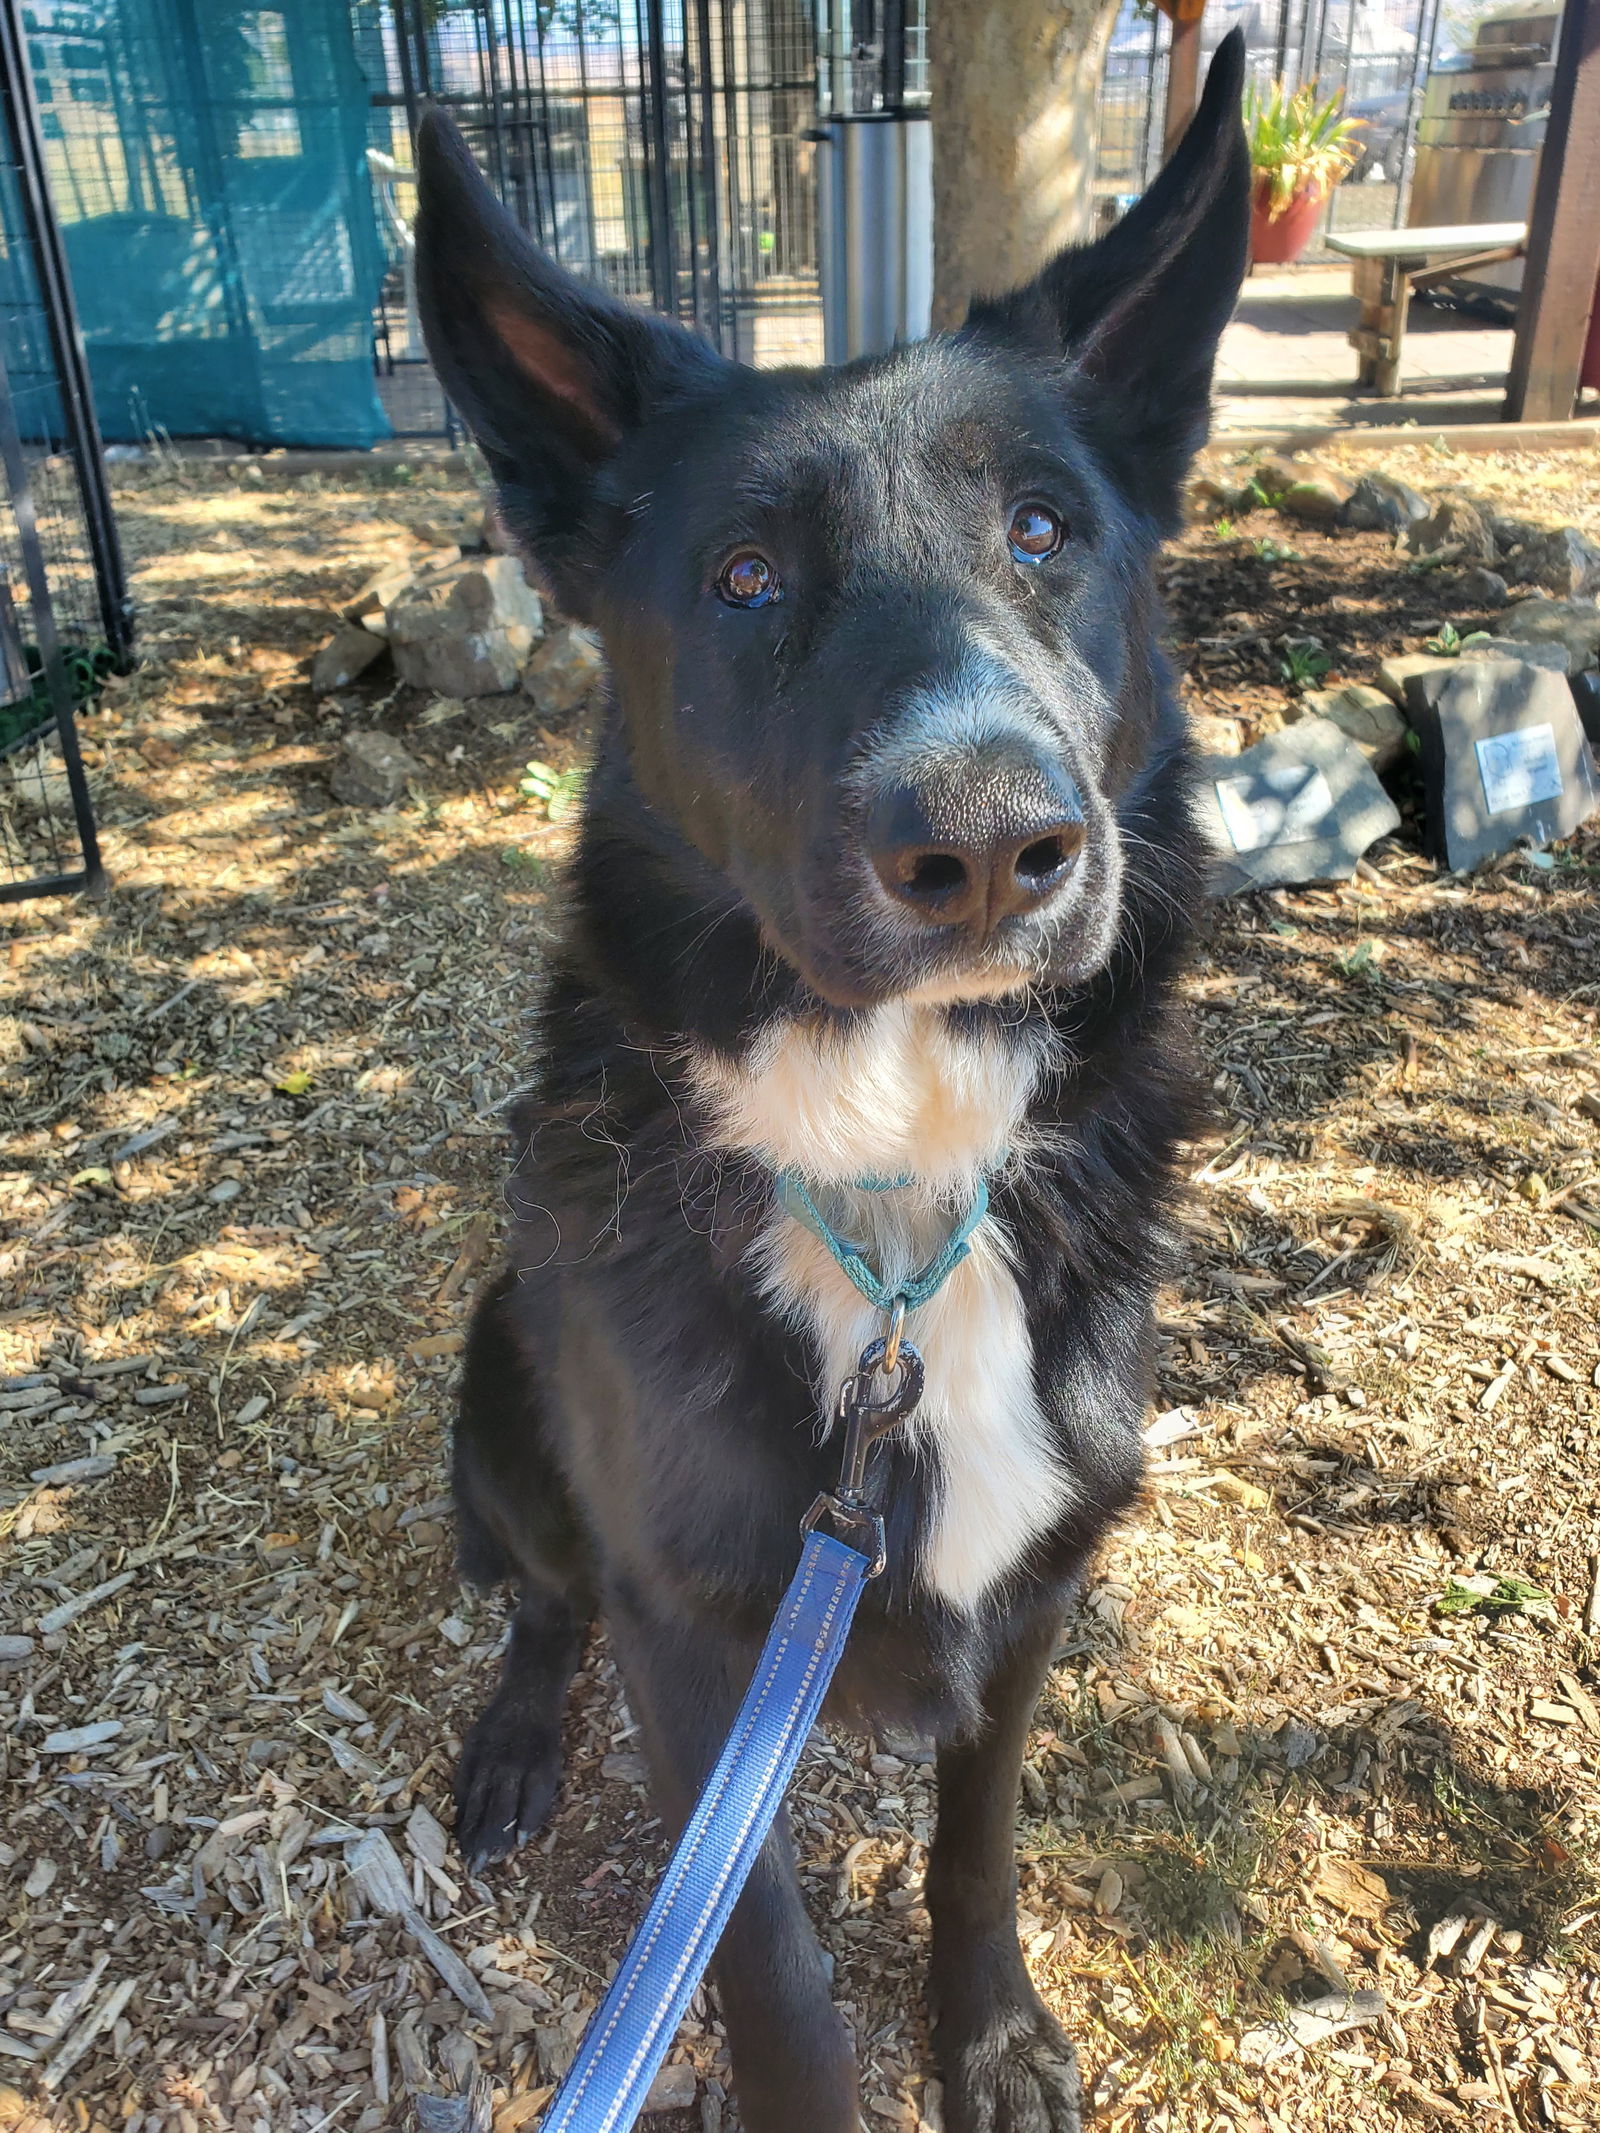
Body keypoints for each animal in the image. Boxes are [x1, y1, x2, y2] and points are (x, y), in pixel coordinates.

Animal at [413, 41, 1254, 2133]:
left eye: (1044, 528)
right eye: (742, 577)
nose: (992, 848)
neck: (893, 1184)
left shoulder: (1038, 1584)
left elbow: (978, 1843)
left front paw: (996, 2037)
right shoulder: (693, 1637)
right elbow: (765, 1955)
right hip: (504, 1383)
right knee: (537, 1600)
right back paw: (514, 1743)